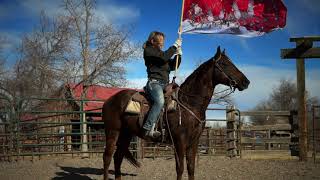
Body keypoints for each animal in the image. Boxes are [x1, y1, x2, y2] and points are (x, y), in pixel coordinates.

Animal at [102, 46, 250, 180]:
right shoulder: (179, 141)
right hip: (112, 131)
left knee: (118, 157)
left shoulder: (194, 142)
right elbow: (180, 168)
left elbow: (191, 168)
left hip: (126, 134)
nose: (246, 82)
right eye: (224, 64)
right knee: (107, 157)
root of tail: (109, 101)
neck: (189, 103)